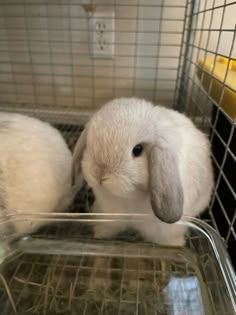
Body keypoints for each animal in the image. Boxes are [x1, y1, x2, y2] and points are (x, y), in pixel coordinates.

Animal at [72, 98, 214, 247]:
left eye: (138, 149)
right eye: (89, 143)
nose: (99, 174)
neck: (129, 199)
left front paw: (175, 245)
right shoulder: (108, 215)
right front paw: (100, 234)